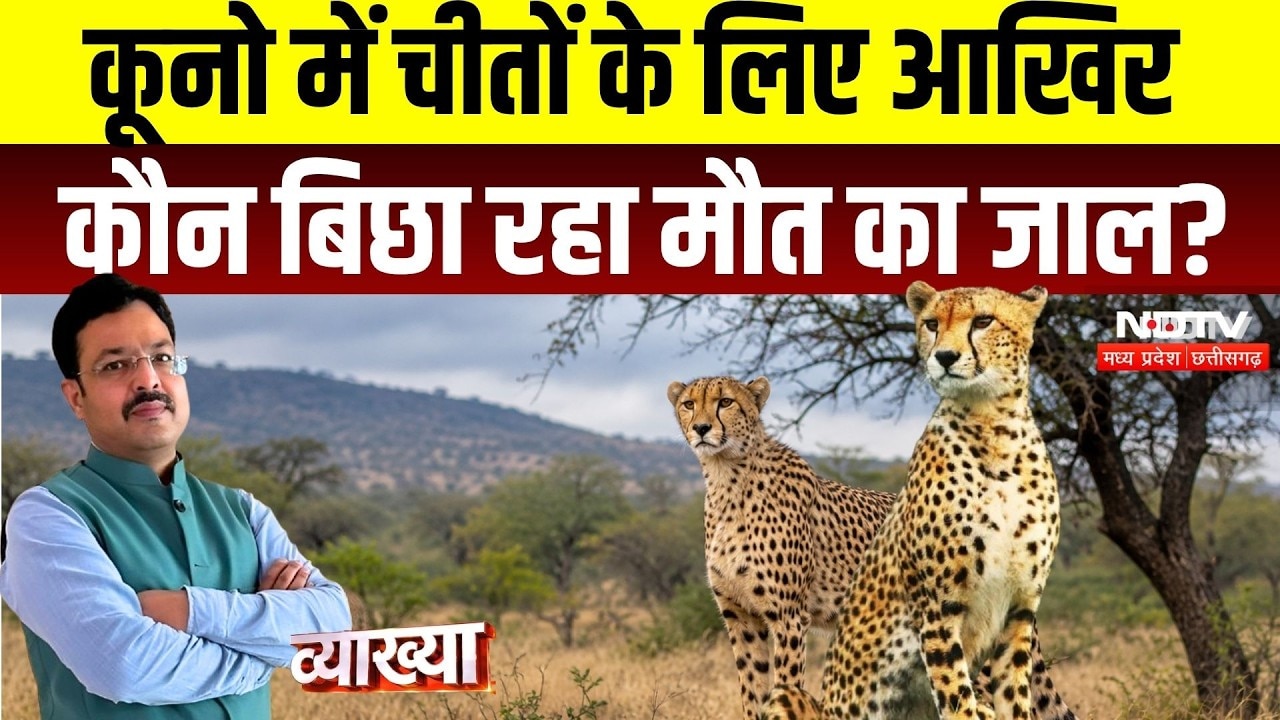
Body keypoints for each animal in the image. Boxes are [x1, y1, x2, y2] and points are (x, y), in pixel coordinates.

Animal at [761, 281, 1073, 720]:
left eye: (983, 320)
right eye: (931, 324)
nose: (944, 356)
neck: (994, 426)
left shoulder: (1020, 608)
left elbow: (1014, 699)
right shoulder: (938, 608)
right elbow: (957, 698)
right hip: (788, 696)